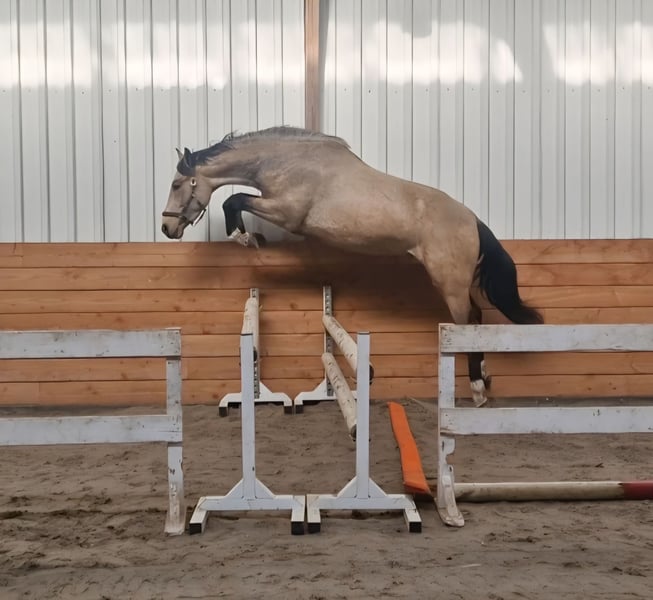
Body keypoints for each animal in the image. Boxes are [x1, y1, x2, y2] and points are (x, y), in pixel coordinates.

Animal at [161, 126, 543, 406]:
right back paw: (485, 378)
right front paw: (249, 237)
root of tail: (472, 220)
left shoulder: (286, 213)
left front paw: (245, 237)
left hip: (449, 285)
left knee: (467, 324)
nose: (167, 228)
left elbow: (235, 200)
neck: (287, 162)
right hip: (455, 285)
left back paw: (477, 389)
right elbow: (236, 200)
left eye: (177, 184)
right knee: (476, 318)